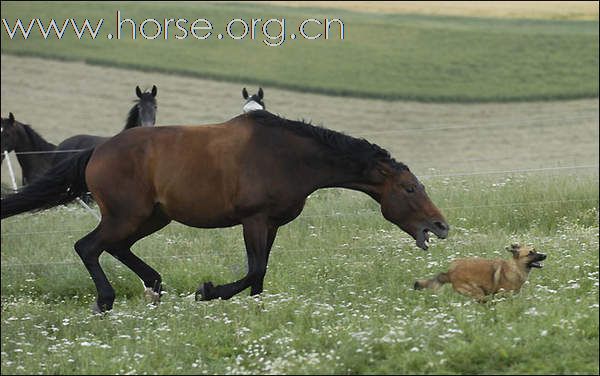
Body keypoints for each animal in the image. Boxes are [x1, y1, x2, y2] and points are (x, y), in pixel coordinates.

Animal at [1, 110, 450, 312]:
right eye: (410, 188)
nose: (441, 225)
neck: (290, 157)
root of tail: (97, 150)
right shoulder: (253, 220)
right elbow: (253, 269)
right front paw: (208, 291)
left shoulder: (272, 225)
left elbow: (261, 274)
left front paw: (254, 308)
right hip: (127, 216)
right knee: (88, 247)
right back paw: (106, 300)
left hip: (151, 217)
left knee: (113, 248)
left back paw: (154, 287)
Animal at [414, 244, 548, 300]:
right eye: (530, 253)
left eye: (535, 250)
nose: (545, 255)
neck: (515, 267)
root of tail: (450, 273)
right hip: (478, 292)